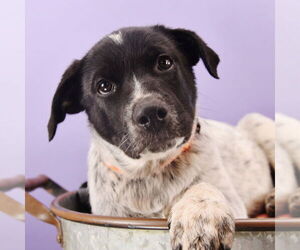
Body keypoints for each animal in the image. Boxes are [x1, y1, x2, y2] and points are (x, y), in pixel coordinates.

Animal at [48, 25, 276, 250]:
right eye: (104, 86)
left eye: (164, 63)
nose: (150, 114)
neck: (151, 170)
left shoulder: (235, 204)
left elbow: (202, 185)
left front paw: (200, 214)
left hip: (258, 125)